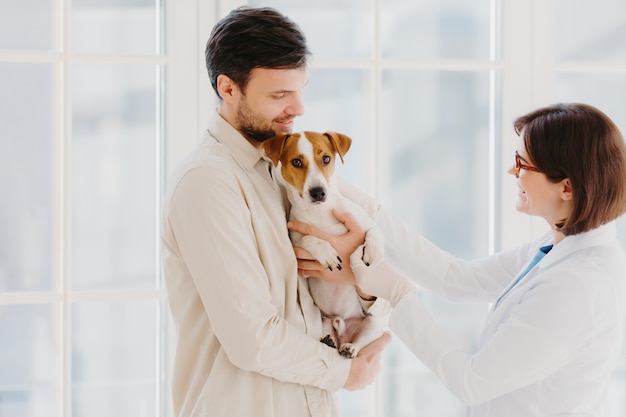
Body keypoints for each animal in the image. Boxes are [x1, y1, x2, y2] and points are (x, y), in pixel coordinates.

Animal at [262, 131, 382, 358]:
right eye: (297, 162)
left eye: (326, 158)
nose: (318, 192)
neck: (320, 213)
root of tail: (341, 325)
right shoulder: (297, 246)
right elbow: (310, 239)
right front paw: (326, 253)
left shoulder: (364, 222)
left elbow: (376, 234)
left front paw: (372, 253)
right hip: (323, 321)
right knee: (330, 335)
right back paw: (330, 341)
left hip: (371, 325)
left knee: (360, 341)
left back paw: (350, 347)